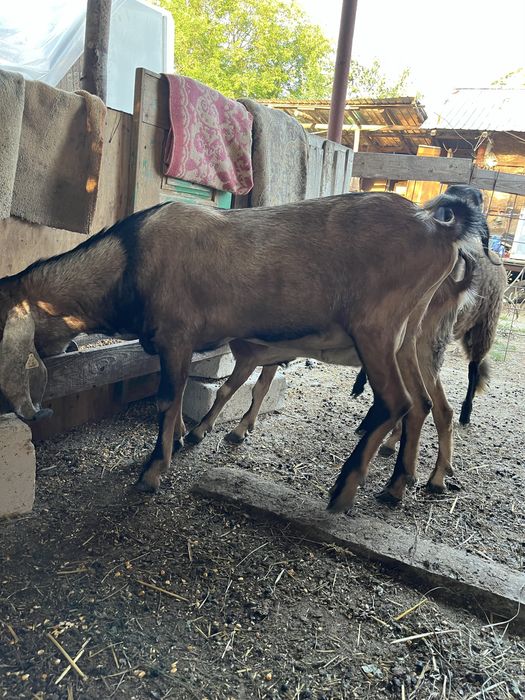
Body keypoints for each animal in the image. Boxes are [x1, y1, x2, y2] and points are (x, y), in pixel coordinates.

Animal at [0, 192, 488, 513]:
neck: (129, 259)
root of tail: (439, 231)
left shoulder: (176, 336)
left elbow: (167, 399)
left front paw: (152, 472)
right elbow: (187, 397)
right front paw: (185, 438)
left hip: (377, 329)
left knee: (397, 402)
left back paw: (345, 491)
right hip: (409, 336)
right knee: (422, 405)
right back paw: (397, 485)